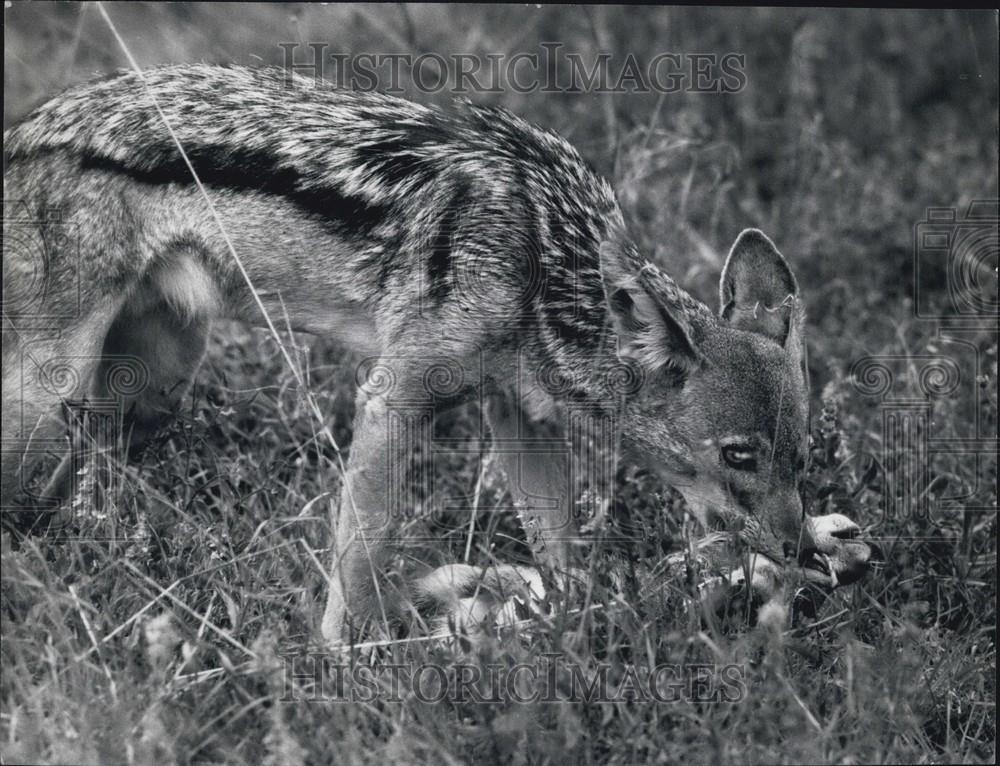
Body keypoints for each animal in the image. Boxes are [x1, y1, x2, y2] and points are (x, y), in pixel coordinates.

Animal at [2, 64, 871, 645]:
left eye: (799, 457)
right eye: (738, 456)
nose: (800, 550)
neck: (541, 259)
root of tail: (23, 129)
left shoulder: (519, 416)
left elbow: (564, 555)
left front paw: (571, 621)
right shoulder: (393, 399)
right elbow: (359, 564)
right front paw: (348, 663)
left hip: (143, 397)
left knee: (83, 502)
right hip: (50, 400)